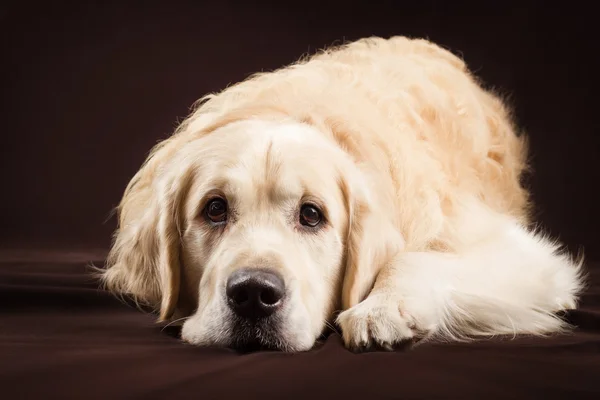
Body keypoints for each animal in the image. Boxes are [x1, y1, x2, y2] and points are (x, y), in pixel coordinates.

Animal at [99, 36, 584, 352]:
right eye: (214, 209)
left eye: (312, 215)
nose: (254, 294)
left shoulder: (524, 256)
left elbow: (411, 257)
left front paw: (382, 309)